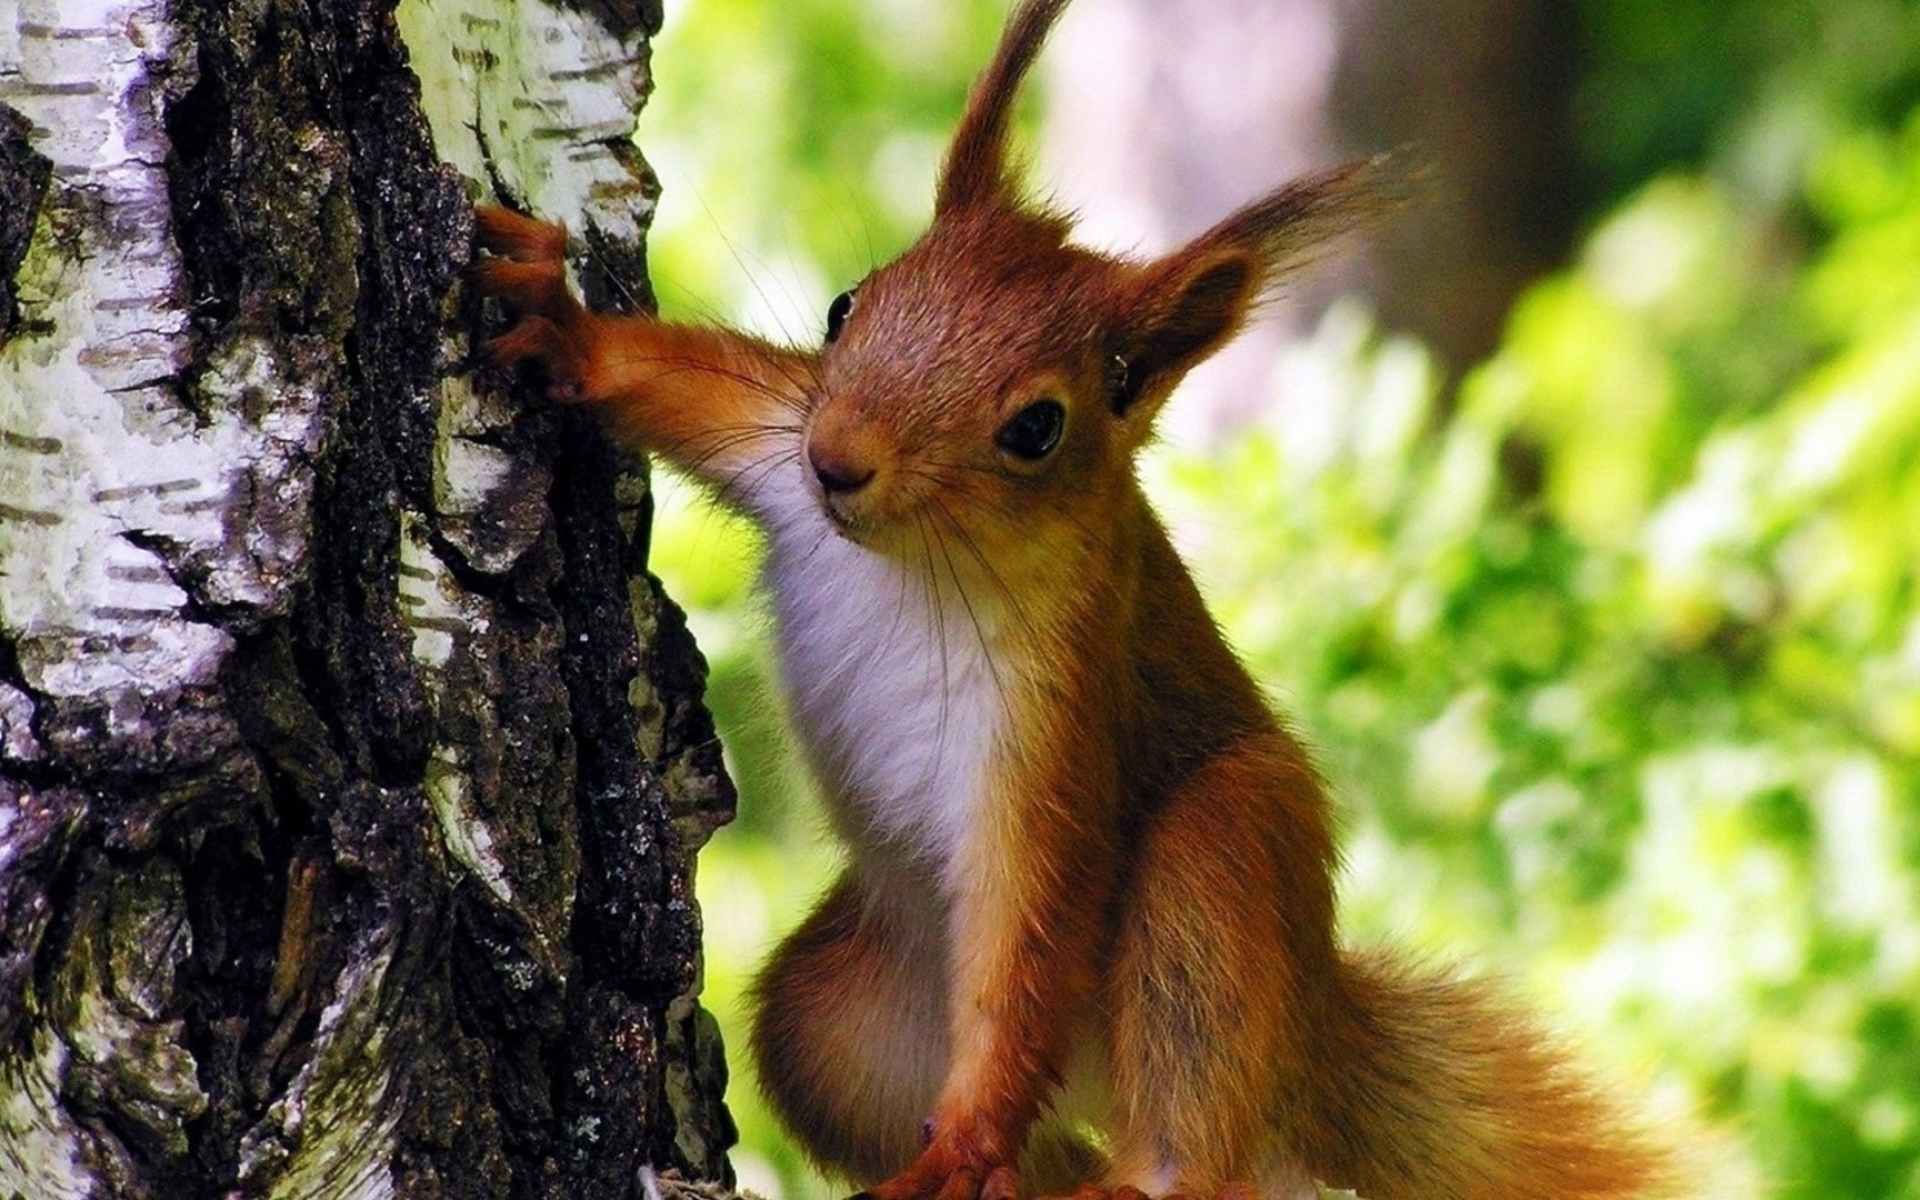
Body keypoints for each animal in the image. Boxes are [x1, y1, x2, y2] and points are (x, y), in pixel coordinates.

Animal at [474, 1, 1676, 1197]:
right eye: (846, 305)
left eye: (1037, 428)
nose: (839, 462)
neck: (912, 559)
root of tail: (1308, 1045)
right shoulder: (776, 439)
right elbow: (685, 383)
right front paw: (567, 328)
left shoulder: (1058, 708)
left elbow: (1030, 927)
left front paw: (965, 1143)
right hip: (842, 1020)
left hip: (1224, 860)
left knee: (1187, 1124)